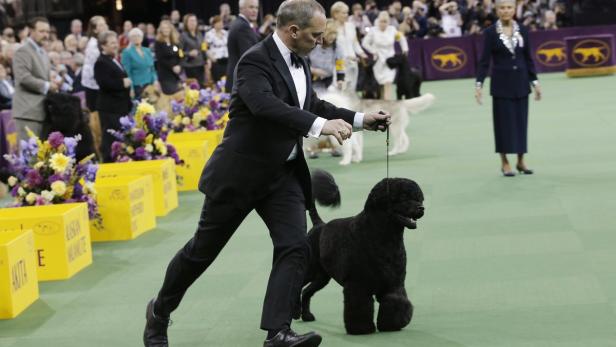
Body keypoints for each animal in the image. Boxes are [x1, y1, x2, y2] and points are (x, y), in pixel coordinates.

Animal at [298, 170, 424, 336]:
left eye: (418, 197)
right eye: (403, 197)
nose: (421, 208)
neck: (382, 236)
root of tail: (318, 225)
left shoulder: (394, 283)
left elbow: (396, 301)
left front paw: (392, 324)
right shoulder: (358, 284)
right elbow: (359, 306)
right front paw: (361, 329)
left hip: (322, 277)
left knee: (306, 292)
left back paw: (307, 316)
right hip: (310, 270)